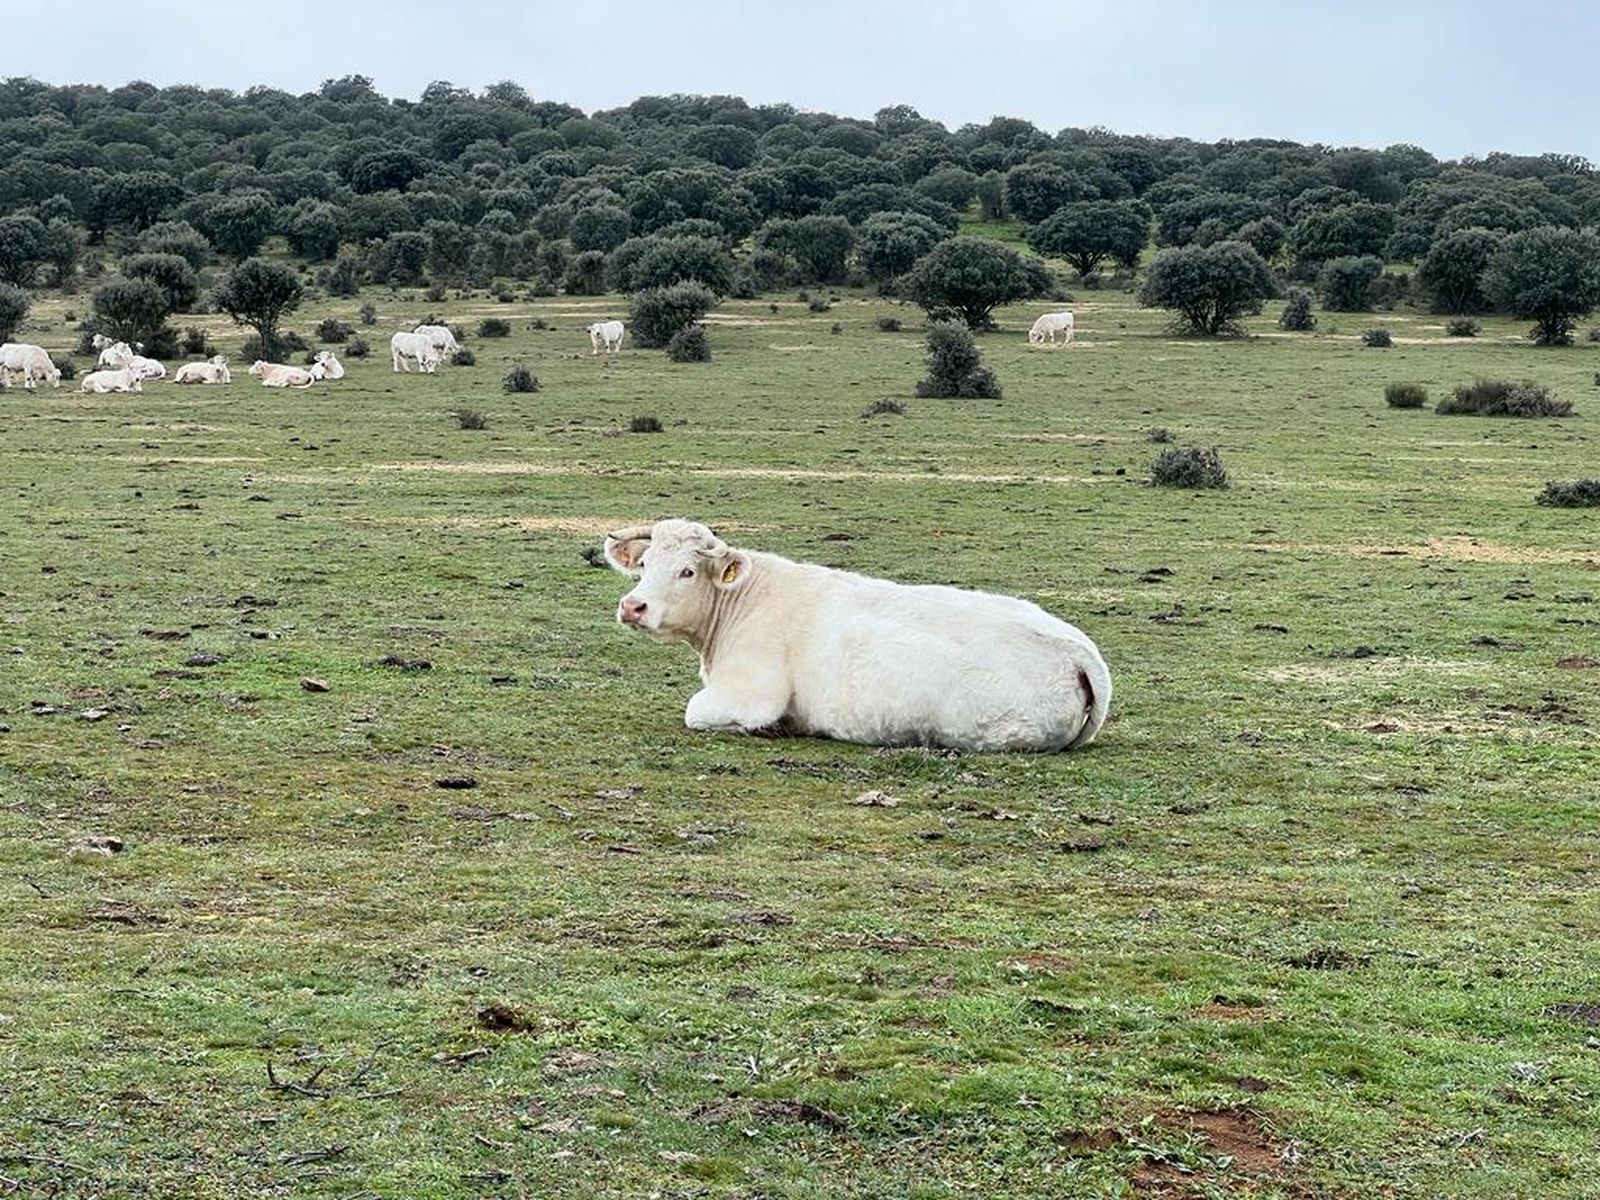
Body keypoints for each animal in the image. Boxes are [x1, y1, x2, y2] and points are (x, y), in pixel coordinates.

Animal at [603, 519, 1111, 752]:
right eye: (644, 564)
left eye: (687, 571)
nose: (633, 606)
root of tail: (1078, 648)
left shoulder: (751, 694)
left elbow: (696, 711)